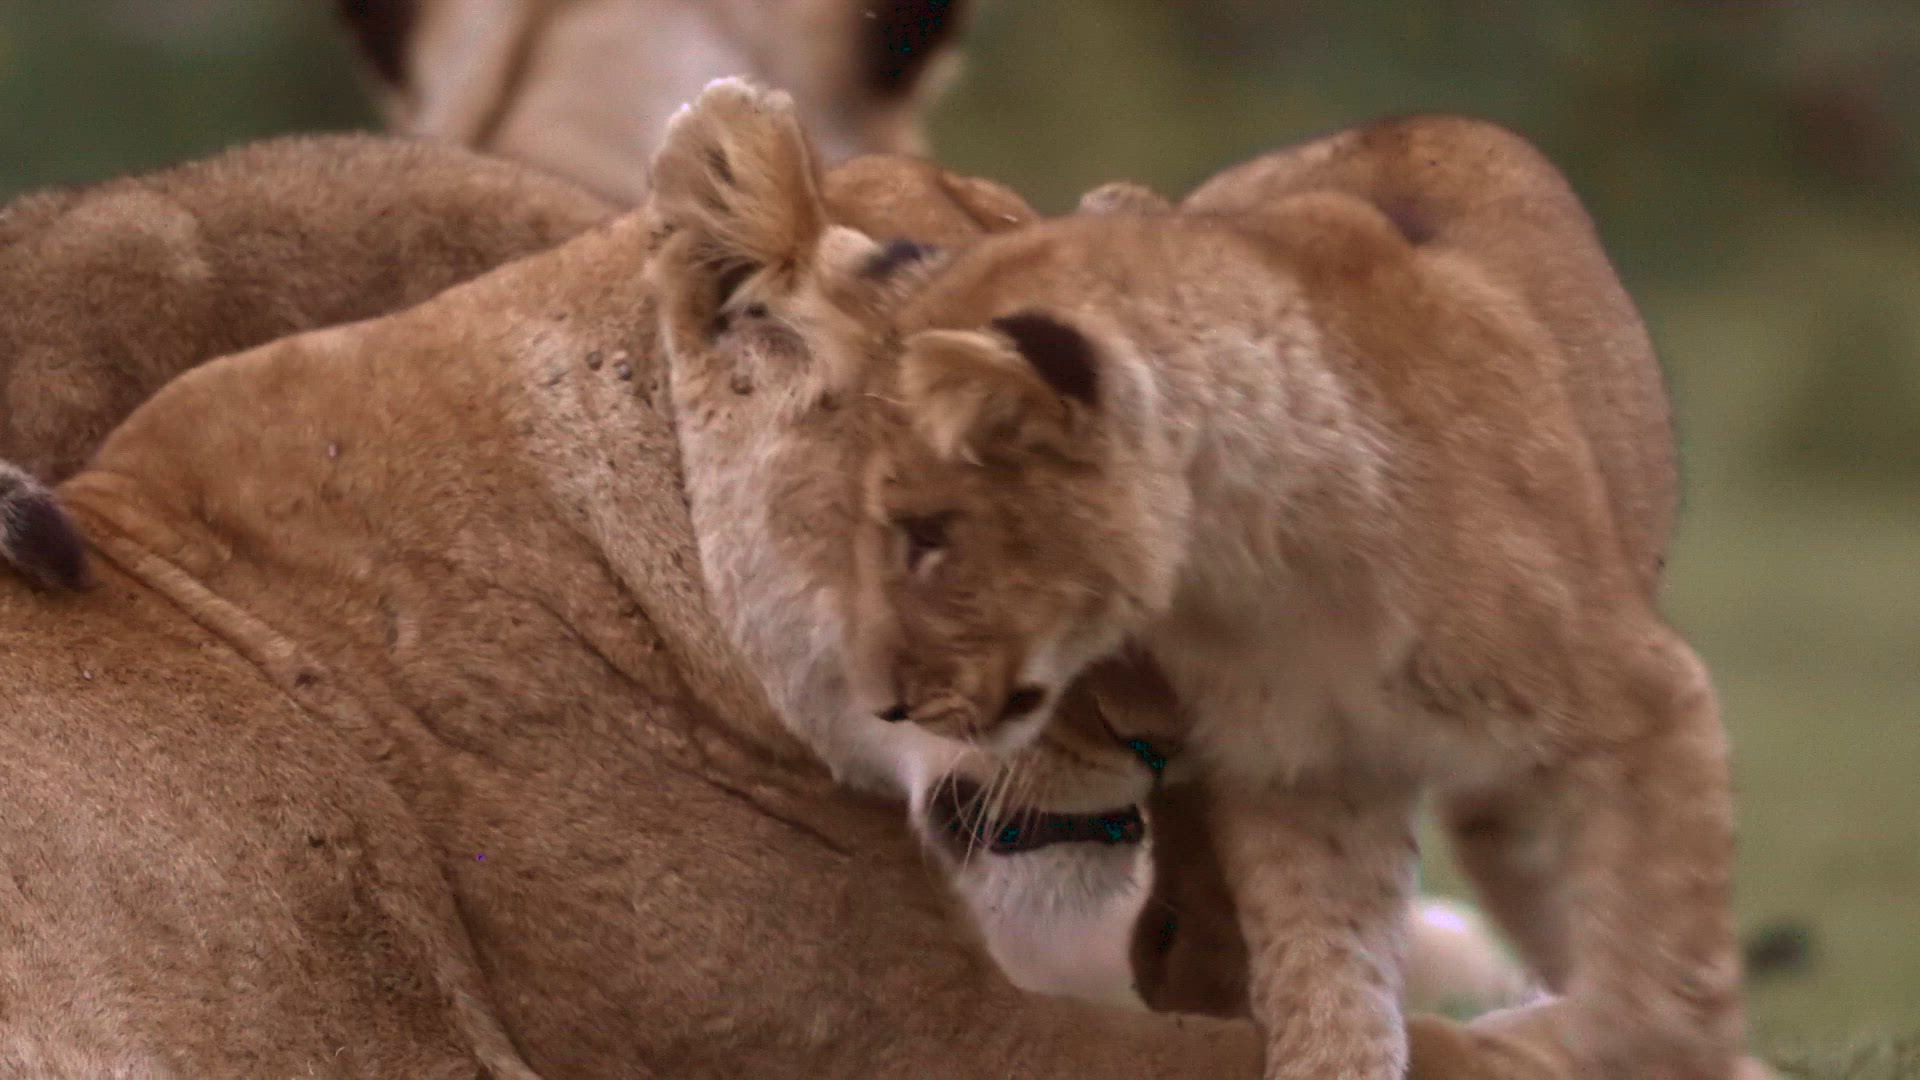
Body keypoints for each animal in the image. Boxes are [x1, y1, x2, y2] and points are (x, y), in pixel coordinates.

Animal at [643, 82, 1768, 1079]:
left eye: (925, 536)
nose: (884, 698)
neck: (1261, 577)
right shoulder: (1305, 778)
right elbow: (1329, 977)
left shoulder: (1645, 706)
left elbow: (1668, 970)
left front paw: (1647, 1045)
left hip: (1516, 799)